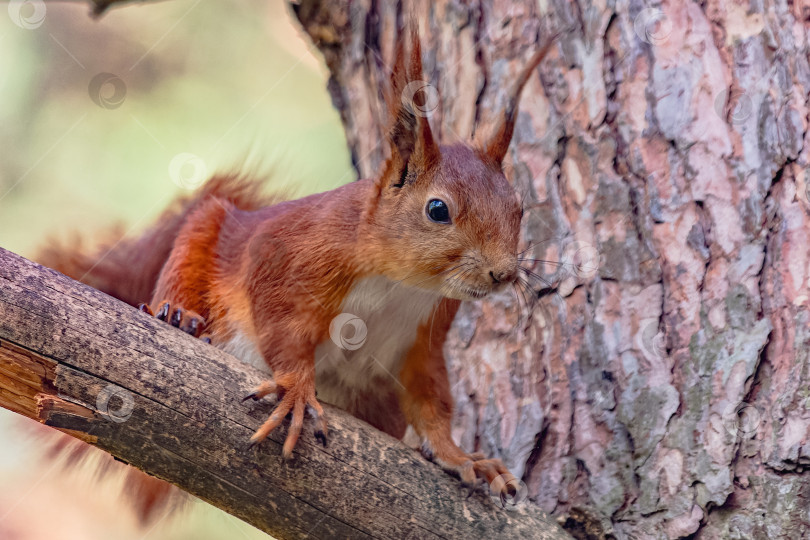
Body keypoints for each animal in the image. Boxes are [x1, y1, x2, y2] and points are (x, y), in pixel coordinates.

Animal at [39, 23, 556, 516]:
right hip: (206, 232)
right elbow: (281, 325)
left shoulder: (427, 334)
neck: (402, 285)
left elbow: (432, 403)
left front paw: (461, 457)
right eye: (437, 210)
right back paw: (177, 314)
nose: (505, 274)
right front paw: (295, 389)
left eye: (519, 209)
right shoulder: (288, 253)